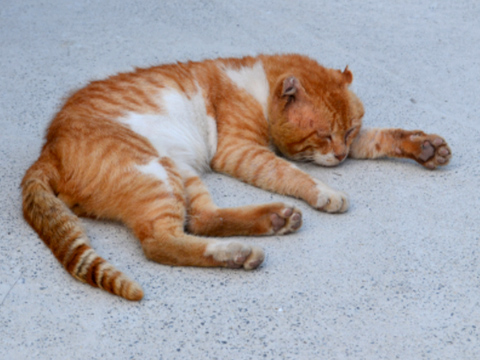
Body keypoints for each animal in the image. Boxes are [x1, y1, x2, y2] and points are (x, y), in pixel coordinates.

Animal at [21, 53, 450, 300]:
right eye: (324, 135)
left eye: (347, 131)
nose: (342, 155)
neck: (258, 84)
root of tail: (46, 150)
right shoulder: (240, 150)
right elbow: (289, 170)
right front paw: (326, 190)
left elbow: (380, 137)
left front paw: (424, 147)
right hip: (152, 170)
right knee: (160, 242)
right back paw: (240, 252)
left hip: (179, 171)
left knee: (202, 220)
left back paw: (272, 221)